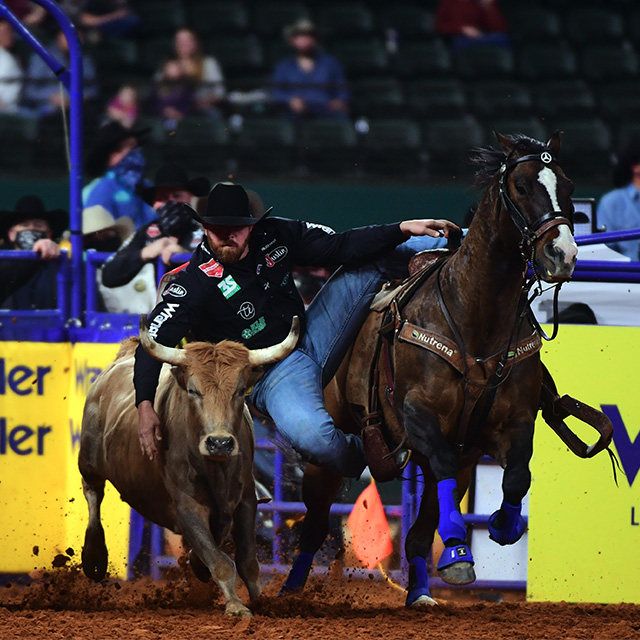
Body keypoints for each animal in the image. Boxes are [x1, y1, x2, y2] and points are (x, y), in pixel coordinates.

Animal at [280, 131, 580, 604]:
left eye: (567, 186)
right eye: (521, 187)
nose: (562, 254)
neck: (475, 321)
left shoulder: (512, 422)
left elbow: (516, 475)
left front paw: (503, 525)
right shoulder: (418, 416)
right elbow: (442, 462)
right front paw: (457, 552)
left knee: (422, 529)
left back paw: (420, 590)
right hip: (326, 451)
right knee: (313, 522)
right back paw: (292, 588)